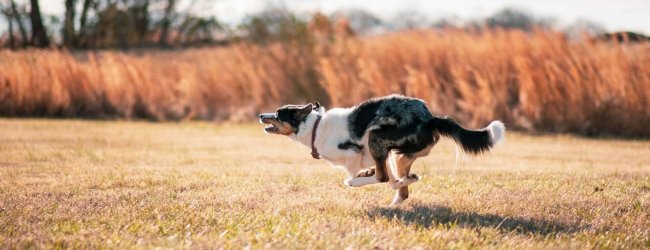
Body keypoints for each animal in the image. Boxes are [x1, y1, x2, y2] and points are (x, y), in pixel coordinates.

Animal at [256, 94, 504, 204]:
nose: (260, 115)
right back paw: (402, 190)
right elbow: (386, 178)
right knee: (400, 188)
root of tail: (429, 119)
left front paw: (356, 179)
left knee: (385, 179)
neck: (316, 126)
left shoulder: (356, 152)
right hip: (398, 156)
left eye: (277, 114)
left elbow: (359, 173)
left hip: (376, 137)